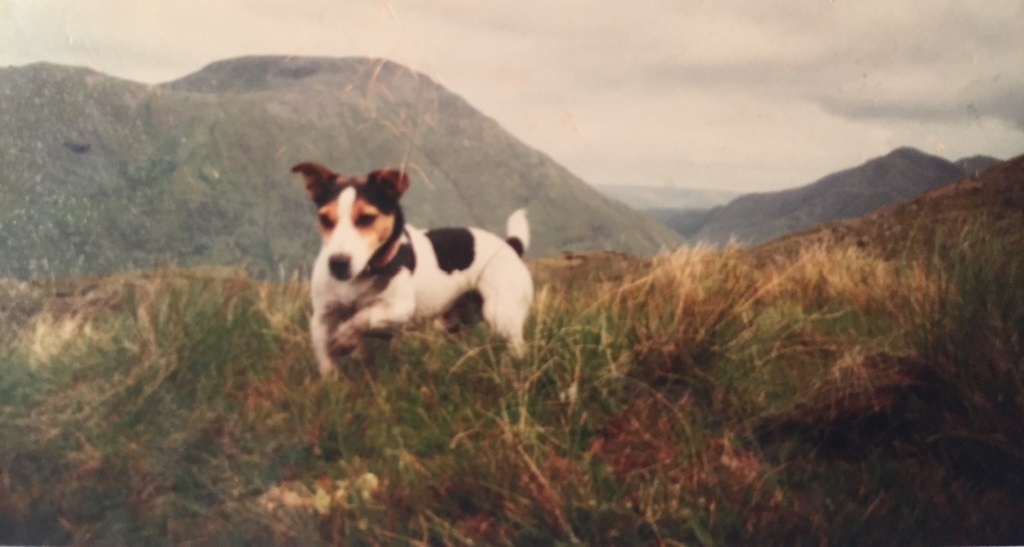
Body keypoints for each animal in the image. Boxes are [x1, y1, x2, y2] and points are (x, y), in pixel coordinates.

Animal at [294, 162, 536, 376]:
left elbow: (362, 317)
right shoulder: (322, 318)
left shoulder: (398, 309)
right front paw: (331, 381)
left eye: (366, 218)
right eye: (325, 219)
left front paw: (344, 340)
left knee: (518, 347)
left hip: (502, 316)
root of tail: (510, 246)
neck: (362, 275)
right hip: (452, 322)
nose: (337, 263)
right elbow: (325, 357)